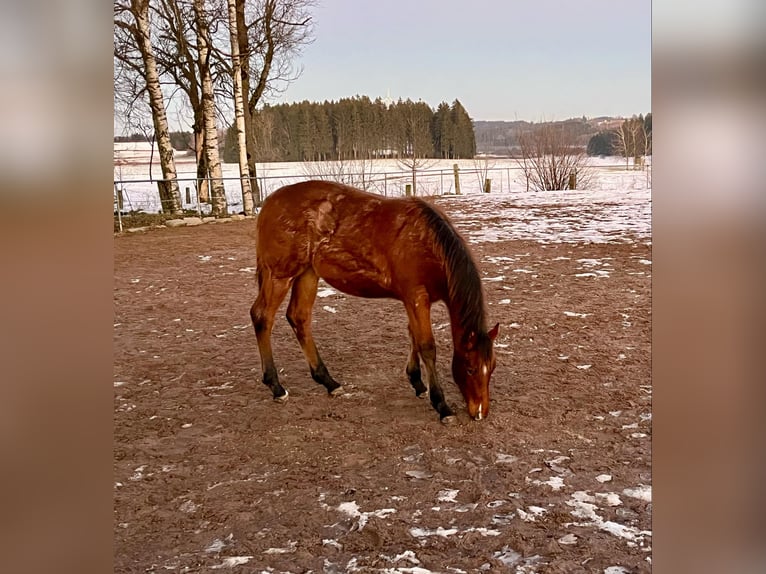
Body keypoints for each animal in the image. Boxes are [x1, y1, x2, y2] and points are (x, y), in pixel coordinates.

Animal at [252, 182, 500, 426]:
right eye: (470, 368)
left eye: (492, 367)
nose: (480, 412)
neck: (427, 242)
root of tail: (270, 203)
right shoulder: (417, 298)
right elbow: (427, 346)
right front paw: (442, 405)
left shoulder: (412, 301)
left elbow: (413, 335)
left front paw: (417, 382)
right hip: (280, 276)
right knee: (262, 317)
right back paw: (276, 387)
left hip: (308, 274)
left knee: (299, 318)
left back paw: (328, 381)